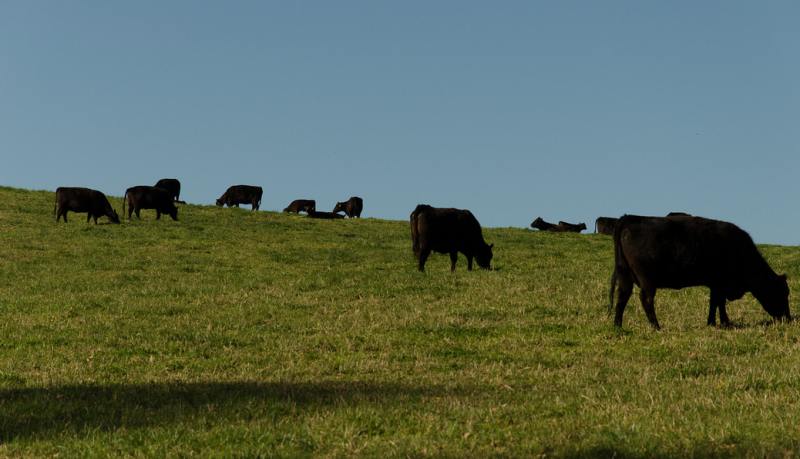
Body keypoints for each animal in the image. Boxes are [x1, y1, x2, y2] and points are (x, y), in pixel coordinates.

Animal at [609, 215, 791, 329]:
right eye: (781, 293)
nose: (788, 319)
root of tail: (631, 217)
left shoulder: (718, 285)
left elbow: (719, 303)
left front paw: (723, 322)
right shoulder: (719, 283)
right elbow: (716, 302)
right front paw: (715, 323)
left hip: (624, 275)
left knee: (622, 296)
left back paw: (618, 325)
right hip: (647, 280)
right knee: (645, 299)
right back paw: (656, 326)